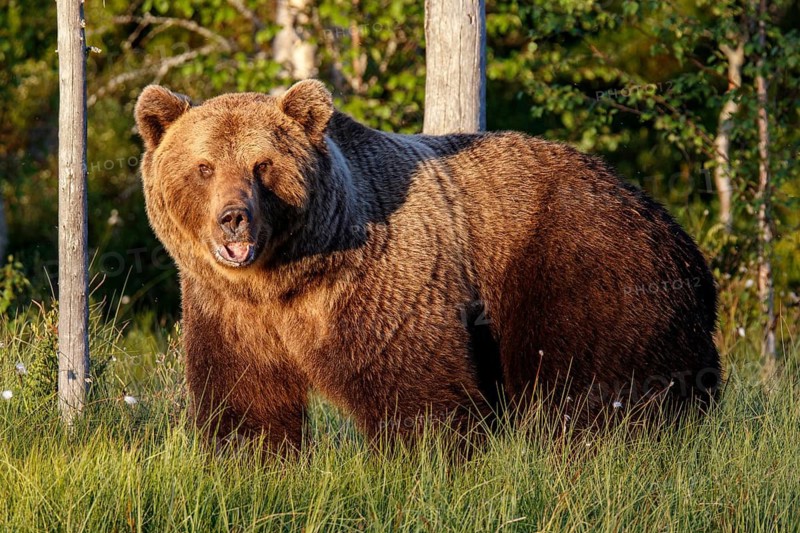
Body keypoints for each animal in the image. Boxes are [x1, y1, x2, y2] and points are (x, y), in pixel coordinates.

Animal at [134, 79, 721, 452]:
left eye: (262, 165)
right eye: (204, 166)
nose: (233, 218)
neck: (283, 280)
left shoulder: (379, 287)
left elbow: (415, 390)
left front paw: (426, 459)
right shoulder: (231, 312)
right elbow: (244, 401)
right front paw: (254, 461)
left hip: (580, 263)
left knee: (591, 382)